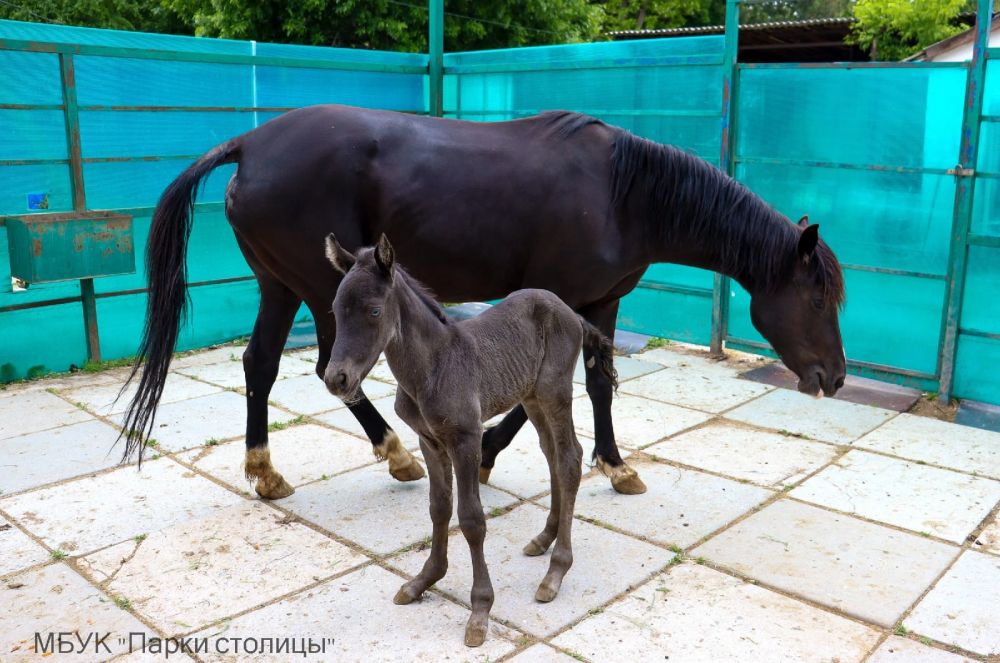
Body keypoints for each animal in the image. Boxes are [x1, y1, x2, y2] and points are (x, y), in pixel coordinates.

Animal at [121, 104, 848, 498]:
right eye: (817, 296)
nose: (836, 377)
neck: (621, 195)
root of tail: (249, 144)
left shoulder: (603, 304)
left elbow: (601, 383)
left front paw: (616, 465)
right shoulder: (562, 302)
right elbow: (543, 389)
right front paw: (493, 454)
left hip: (282, 286)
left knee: (263, 365)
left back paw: (269, 471)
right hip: (330, 290)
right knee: (331, 371)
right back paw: (396, 451)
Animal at [322, 235, 616, 648]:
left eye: (375, 311)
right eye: (334, 311)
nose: (336, 379)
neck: (431, 367)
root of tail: (572, 314)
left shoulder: (466, 439)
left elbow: (472, 519)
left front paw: (480, 611)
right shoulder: (429, 441)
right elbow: (438, 508)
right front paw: (423, 581)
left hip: (555, 391)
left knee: (570, 458)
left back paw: (555, 572)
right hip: (531, 396)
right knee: (552, 455)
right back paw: (544, 538)